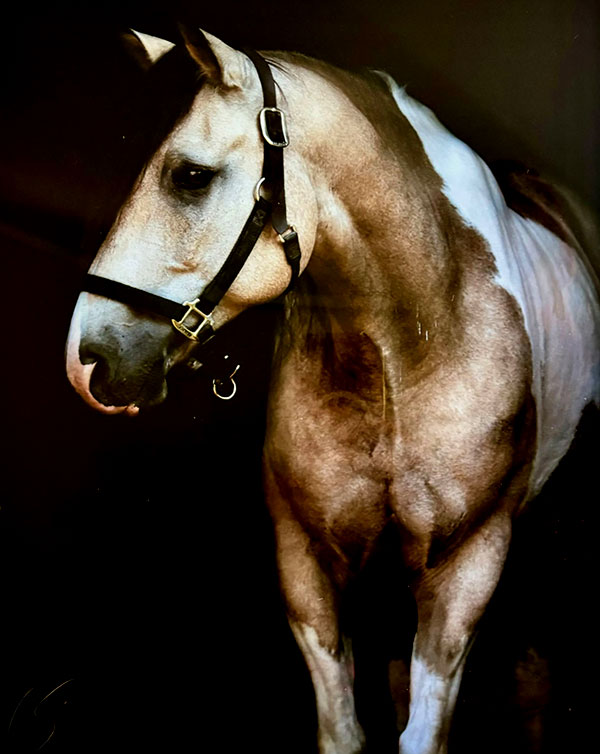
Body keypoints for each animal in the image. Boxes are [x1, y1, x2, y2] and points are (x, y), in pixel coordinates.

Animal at [65, 26, 600, 754]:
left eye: (190, 176)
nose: (86, 360)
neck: (403, 355)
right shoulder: (306, 562)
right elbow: (343, 729)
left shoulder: (467, 568)